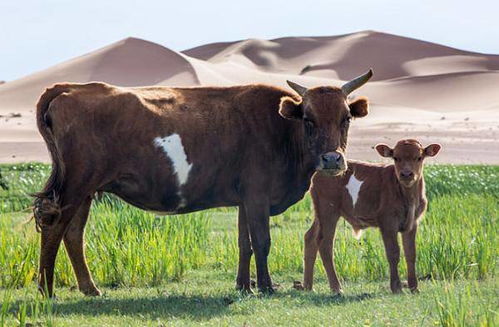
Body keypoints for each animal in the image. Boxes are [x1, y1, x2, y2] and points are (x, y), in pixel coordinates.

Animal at [33, 69, 374, 298]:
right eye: (308, 119)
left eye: (345, 118)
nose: (332, 160)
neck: (281, 129)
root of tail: (72, 87)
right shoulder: (258, 195)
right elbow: (262, 241)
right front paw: (266, 287)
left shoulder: (244, 199)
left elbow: (244, 243)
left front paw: (244, 286)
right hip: (75, 185)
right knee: (55, 226)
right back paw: (46, 289)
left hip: (86, 190)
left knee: (73, 234)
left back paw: (89, 288)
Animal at [302, 139, 440, 294]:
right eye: (396, 158)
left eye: (419, 157)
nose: (406, 174)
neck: (409, 196)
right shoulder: (387, 222)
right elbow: (393, 253)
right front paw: (396, 287)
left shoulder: (412, 223)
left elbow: (411, 253)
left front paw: (414, 287)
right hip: (328, 211)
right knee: (325, 243)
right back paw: (336, 287)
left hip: (320, 212)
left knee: (310, 237)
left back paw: (308, 286)